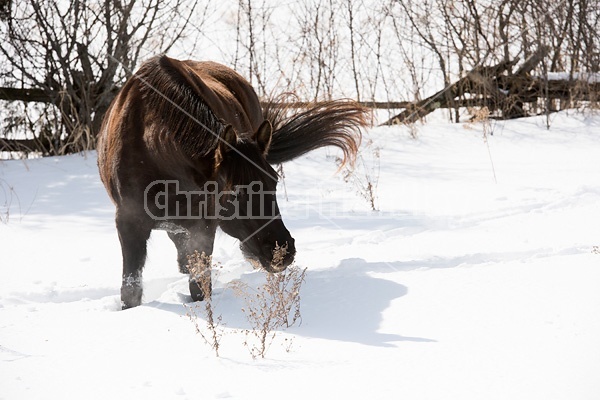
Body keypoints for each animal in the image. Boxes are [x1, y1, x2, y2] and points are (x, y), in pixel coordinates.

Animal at [96, 54, 368, 310]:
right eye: (236, 192)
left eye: (274, 182)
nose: (281, 252)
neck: (152, 150)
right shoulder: (129, 223)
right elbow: (131, 291)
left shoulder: (202, 226)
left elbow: (199, 286)